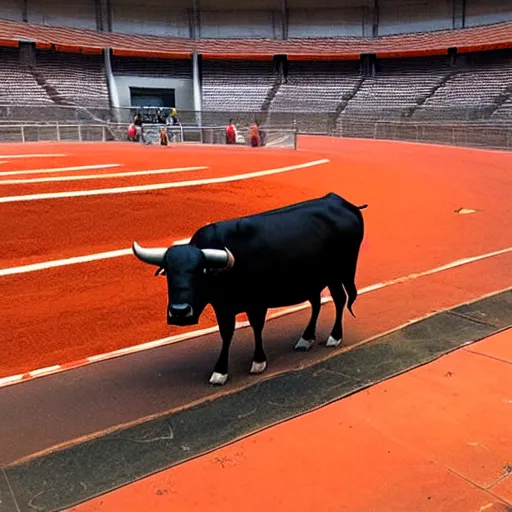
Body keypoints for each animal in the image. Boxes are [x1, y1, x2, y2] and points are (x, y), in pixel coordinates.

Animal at [132, 192, 364, 384]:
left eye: (202, 271)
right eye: (168, 273)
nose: (179, 312)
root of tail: (342, 202)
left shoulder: (257, 303)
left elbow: (256, 327)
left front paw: (258, 361)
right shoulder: (222, 307)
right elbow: (226, 333)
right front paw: (220, 371)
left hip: (339, 273)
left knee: (339, 299)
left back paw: (334, 337)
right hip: (313, 280)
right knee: (316, 303)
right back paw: (306, 338)